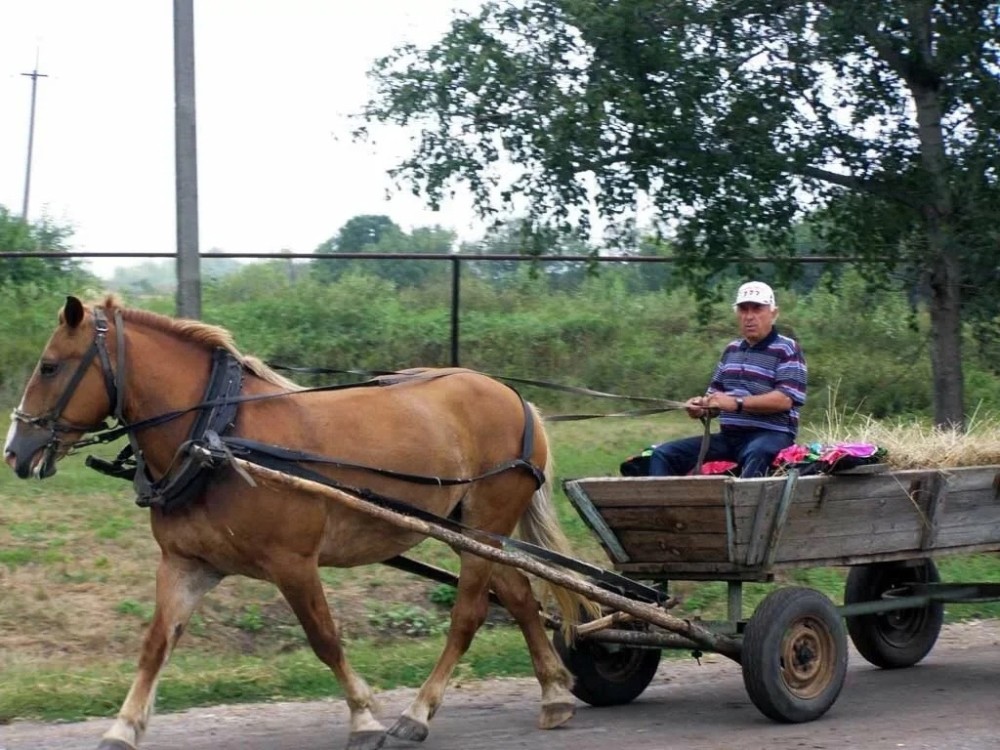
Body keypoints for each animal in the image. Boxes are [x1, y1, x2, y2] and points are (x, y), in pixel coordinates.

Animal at [3, 296, 588, 750]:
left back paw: (416, 714)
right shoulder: (186, 564)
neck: (217, 435)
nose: (15, 451)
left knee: (469, 615)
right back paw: (555, 693)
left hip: (484, 523)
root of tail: (515, 398)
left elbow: (324, 638)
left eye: (50, 366)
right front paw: (122, 728)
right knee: (518, 595)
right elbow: (155, 645)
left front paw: (364, 717)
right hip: (475, 532)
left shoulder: (293, 563)